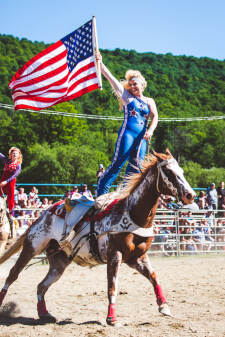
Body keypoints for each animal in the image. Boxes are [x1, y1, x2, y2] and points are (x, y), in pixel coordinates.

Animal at [0, 150, 195, 322]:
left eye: (182, 171)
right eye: (169, 172)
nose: (190, 195)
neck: (133, 213)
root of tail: (43, 215)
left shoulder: (137, 257)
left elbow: (154, 278)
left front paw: (164, 306)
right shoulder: (114, 255)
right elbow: (112, 287)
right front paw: (111, 318)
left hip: (59, 262)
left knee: (41, 286)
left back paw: (45, 314)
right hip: (32, 247)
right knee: (12, 275)